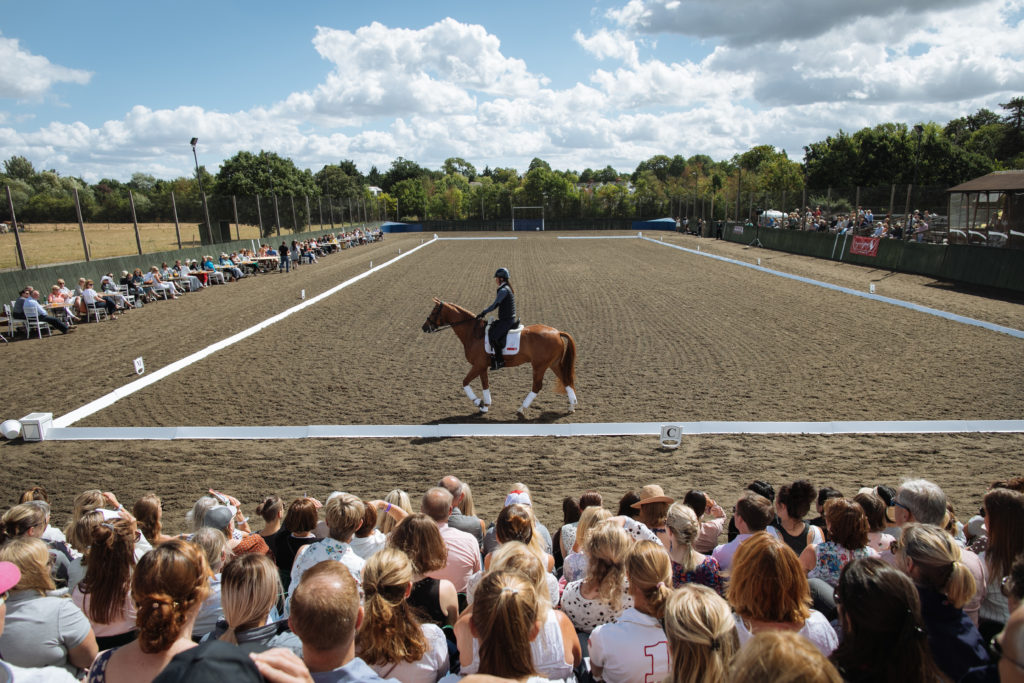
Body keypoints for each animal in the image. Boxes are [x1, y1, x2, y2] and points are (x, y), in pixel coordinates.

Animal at [421, 299, 581, 417]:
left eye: (434, 311)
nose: (424, 327)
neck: (474, 333)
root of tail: (557, 332)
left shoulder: (478, 365)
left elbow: (465, 382)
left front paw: (478, 402)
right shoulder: (482, 367)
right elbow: (485, 385)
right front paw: (485, 406)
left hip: (539, 366)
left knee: (537, 386)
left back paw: (521, 409)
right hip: (553, 364)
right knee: (566, 380)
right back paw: (571, 407)